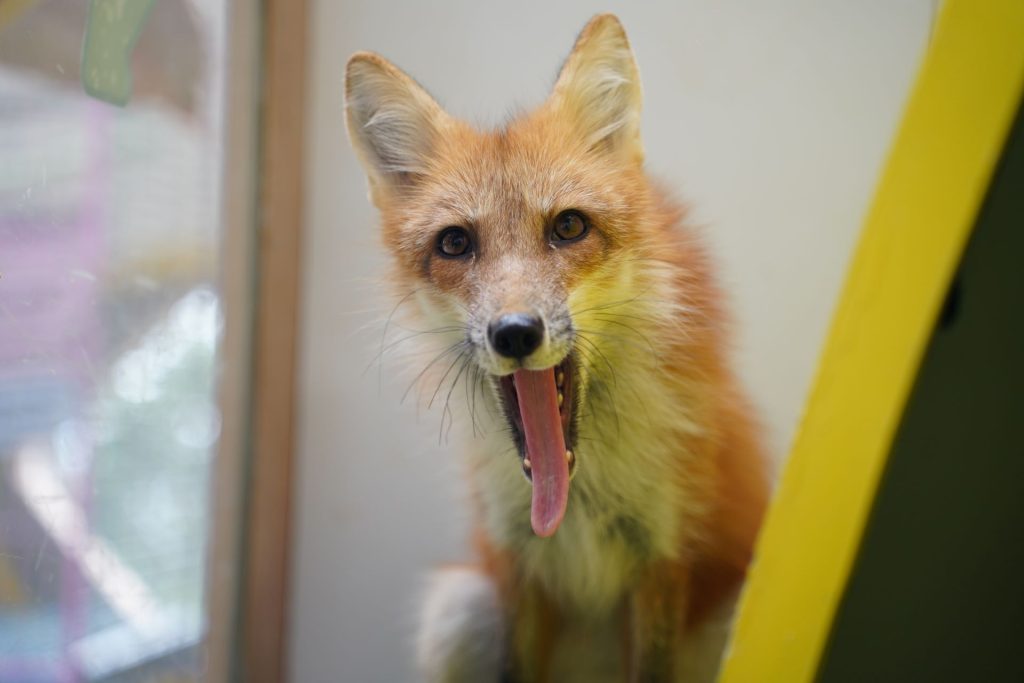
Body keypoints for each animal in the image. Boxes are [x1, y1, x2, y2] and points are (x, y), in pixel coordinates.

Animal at [344, 13, 770, 683]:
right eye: (455, 243)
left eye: (568, 226)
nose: (516, 332)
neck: (581, 498)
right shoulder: (519, 566)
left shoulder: (663, 555)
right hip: (460, 609)